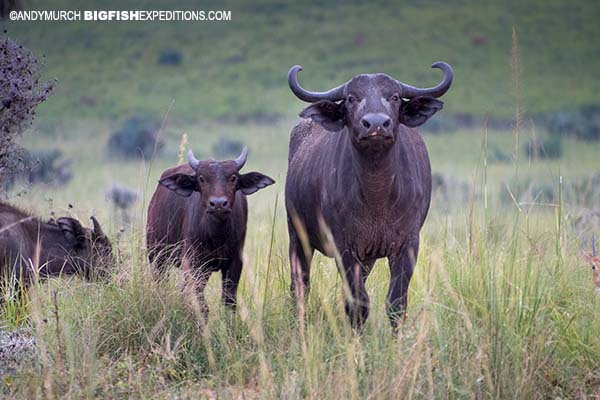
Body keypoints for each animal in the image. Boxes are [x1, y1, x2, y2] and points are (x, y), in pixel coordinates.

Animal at [148, 147, 274, 316]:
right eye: (202, 178)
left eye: (233, 177)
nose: (218, 204)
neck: (216, 235)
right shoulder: (193, 262)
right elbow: (201, 305)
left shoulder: (235, 262)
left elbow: (229, 303)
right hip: (157, 256)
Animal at [284, 61, 452, 328]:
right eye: (351, 98)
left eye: (394, 96)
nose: (376, 124)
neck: (377, 196)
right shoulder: (344, 246)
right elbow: (357, 304)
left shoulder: (408, 244)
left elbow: (396, 303)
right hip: (297, 236)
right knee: (300, 286)